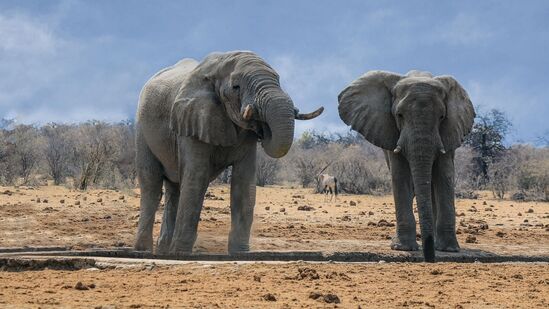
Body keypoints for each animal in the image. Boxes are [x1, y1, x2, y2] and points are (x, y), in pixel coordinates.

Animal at [135, 50, 324, 254]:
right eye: (236, 87)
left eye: (278, 80)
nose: (263, 128)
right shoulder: (191, 120)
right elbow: (196, 177)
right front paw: (181, 252)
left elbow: (244, 182)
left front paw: (240, 253)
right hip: (142, 129)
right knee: (152, 185)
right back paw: (145, 250)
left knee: (174, 189)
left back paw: (163, 251)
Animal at [336, 69, 474, 260]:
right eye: (399, 115)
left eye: (442, 117)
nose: (429, 260)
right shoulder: (390, 132)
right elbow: (401, 176)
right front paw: (403, 248)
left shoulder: (449, 131)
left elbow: (444, 176)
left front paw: (449, 250)